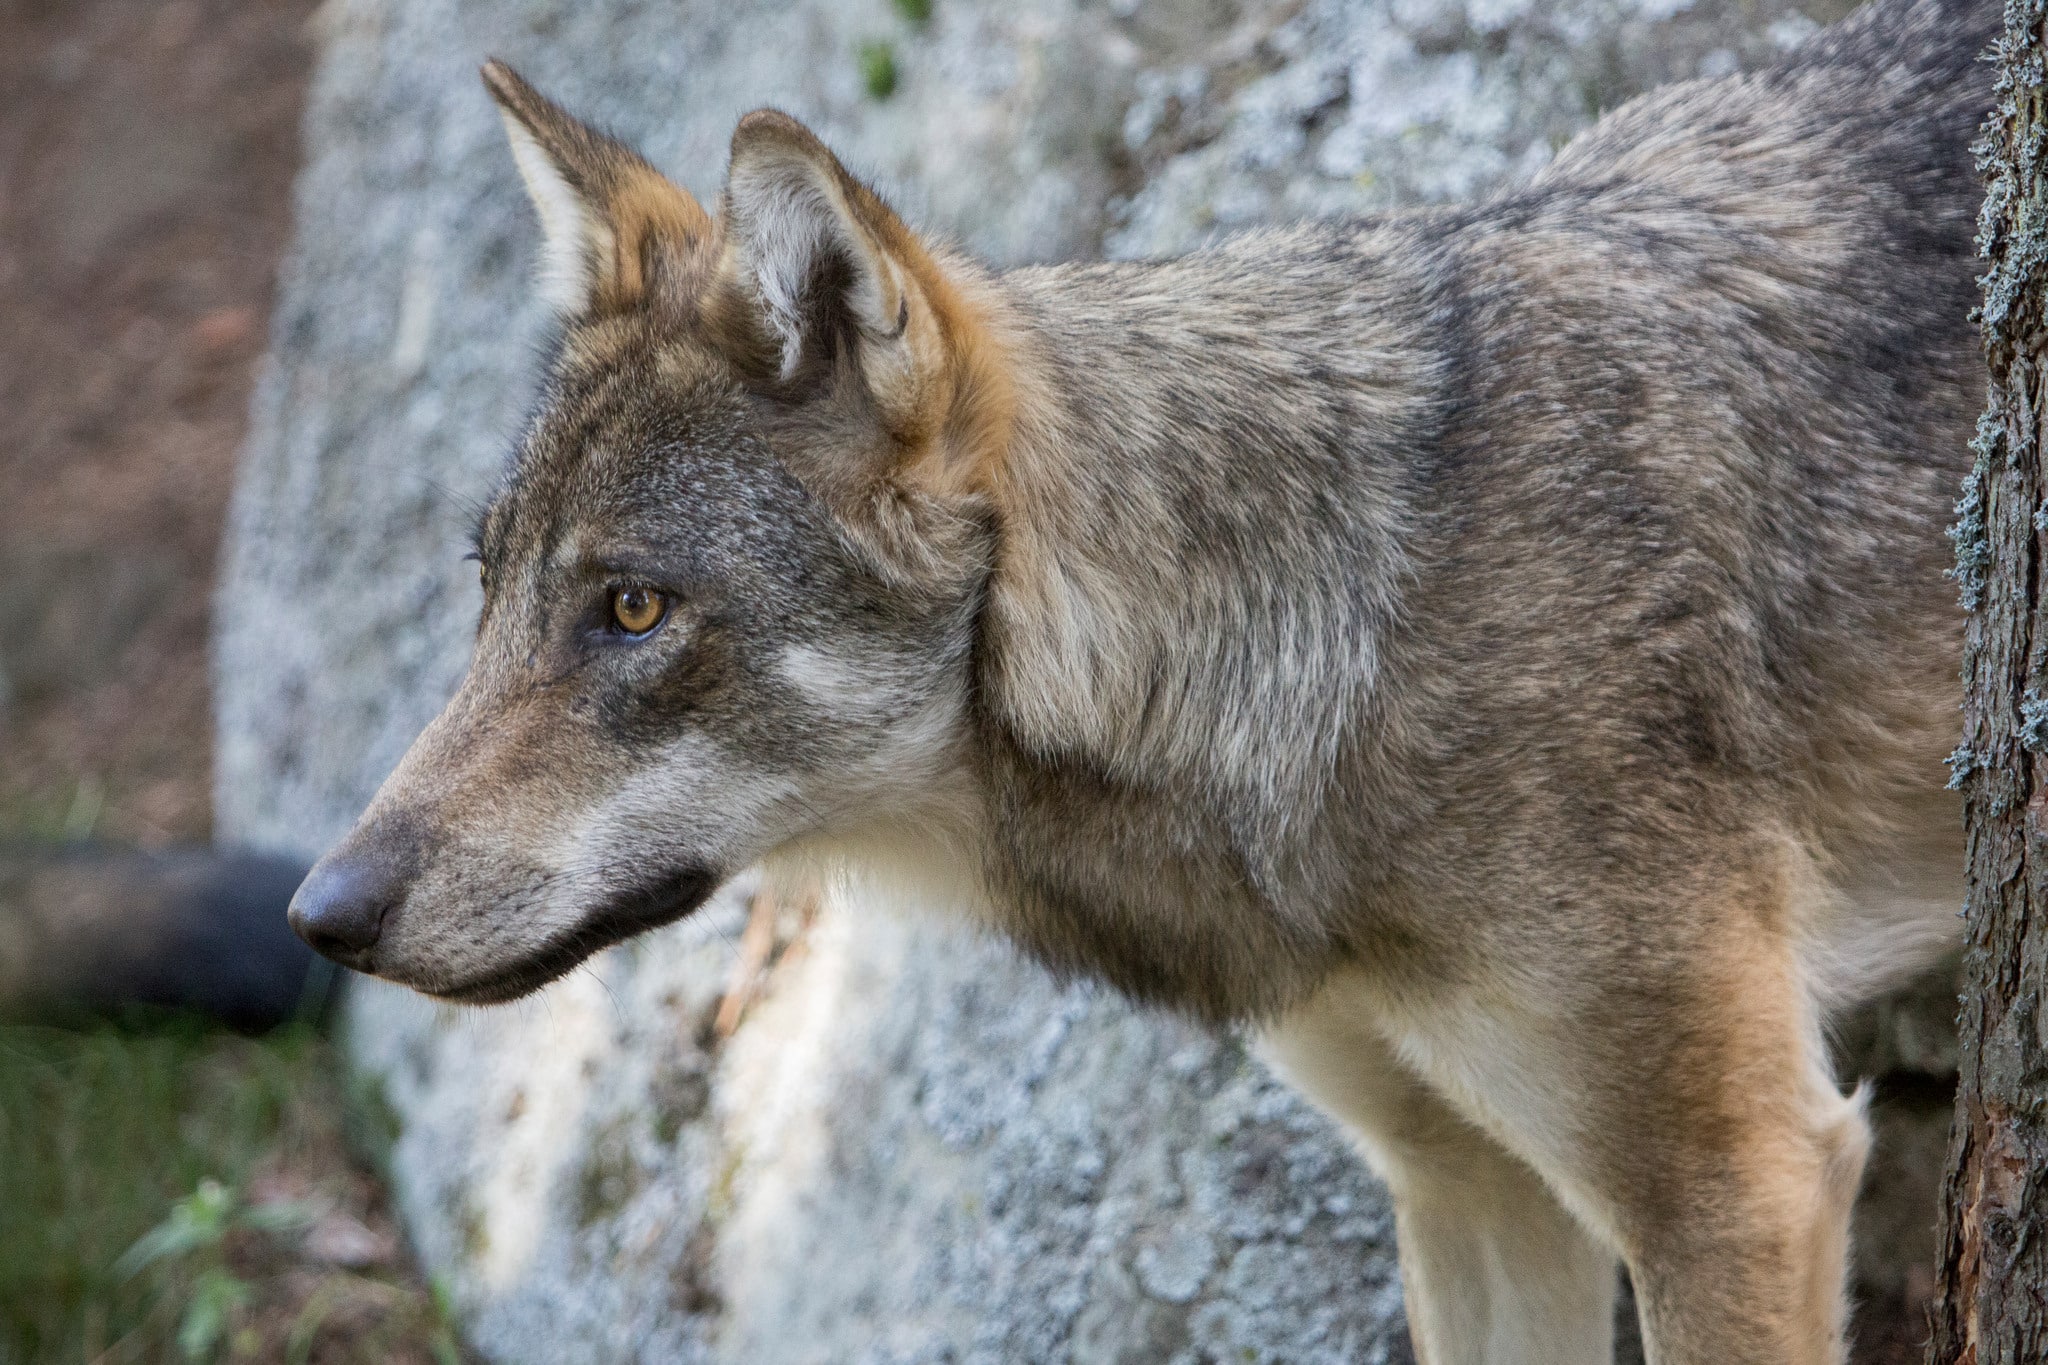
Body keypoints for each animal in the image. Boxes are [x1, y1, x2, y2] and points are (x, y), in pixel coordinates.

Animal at [292, 2, 1998, 1358]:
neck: (1349, 629)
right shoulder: (1477, 1192)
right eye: (490, 585)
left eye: (633, 609)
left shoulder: (1738, 1187)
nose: (320, 914)